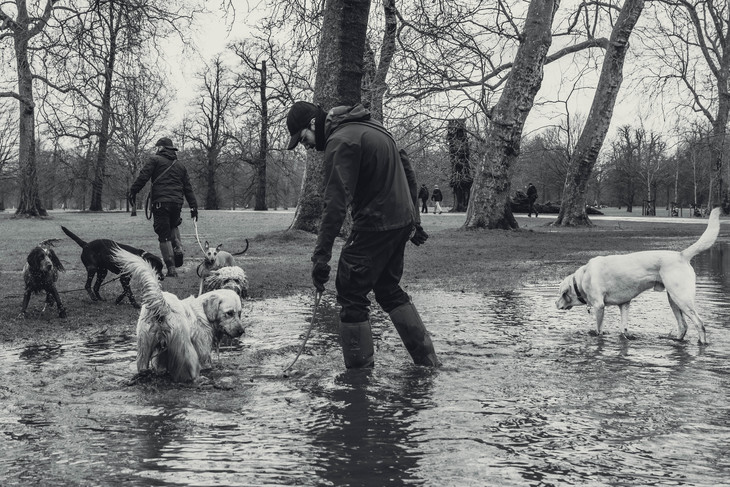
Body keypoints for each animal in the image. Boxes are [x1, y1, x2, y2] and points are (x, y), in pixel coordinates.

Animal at [113, 248, 245, 382]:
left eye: (239, 314)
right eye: (229, 313)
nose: (241, 331)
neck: (204, 313)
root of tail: (163, 305)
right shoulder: (203, 351)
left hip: (144, 347)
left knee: (142, 366)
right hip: (186, 351)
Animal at [556, 208, 716, 346]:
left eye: (561, 294)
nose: (555, 304)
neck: (582, 279)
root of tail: (681, 255)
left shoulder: (599, 306)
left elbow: (599, 330)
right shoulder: (624, 304)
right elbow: (623, 329)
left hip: (682, 299)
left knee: (699, 324)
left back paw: (702, 344)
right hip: (673, 300)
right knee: (683, 326)